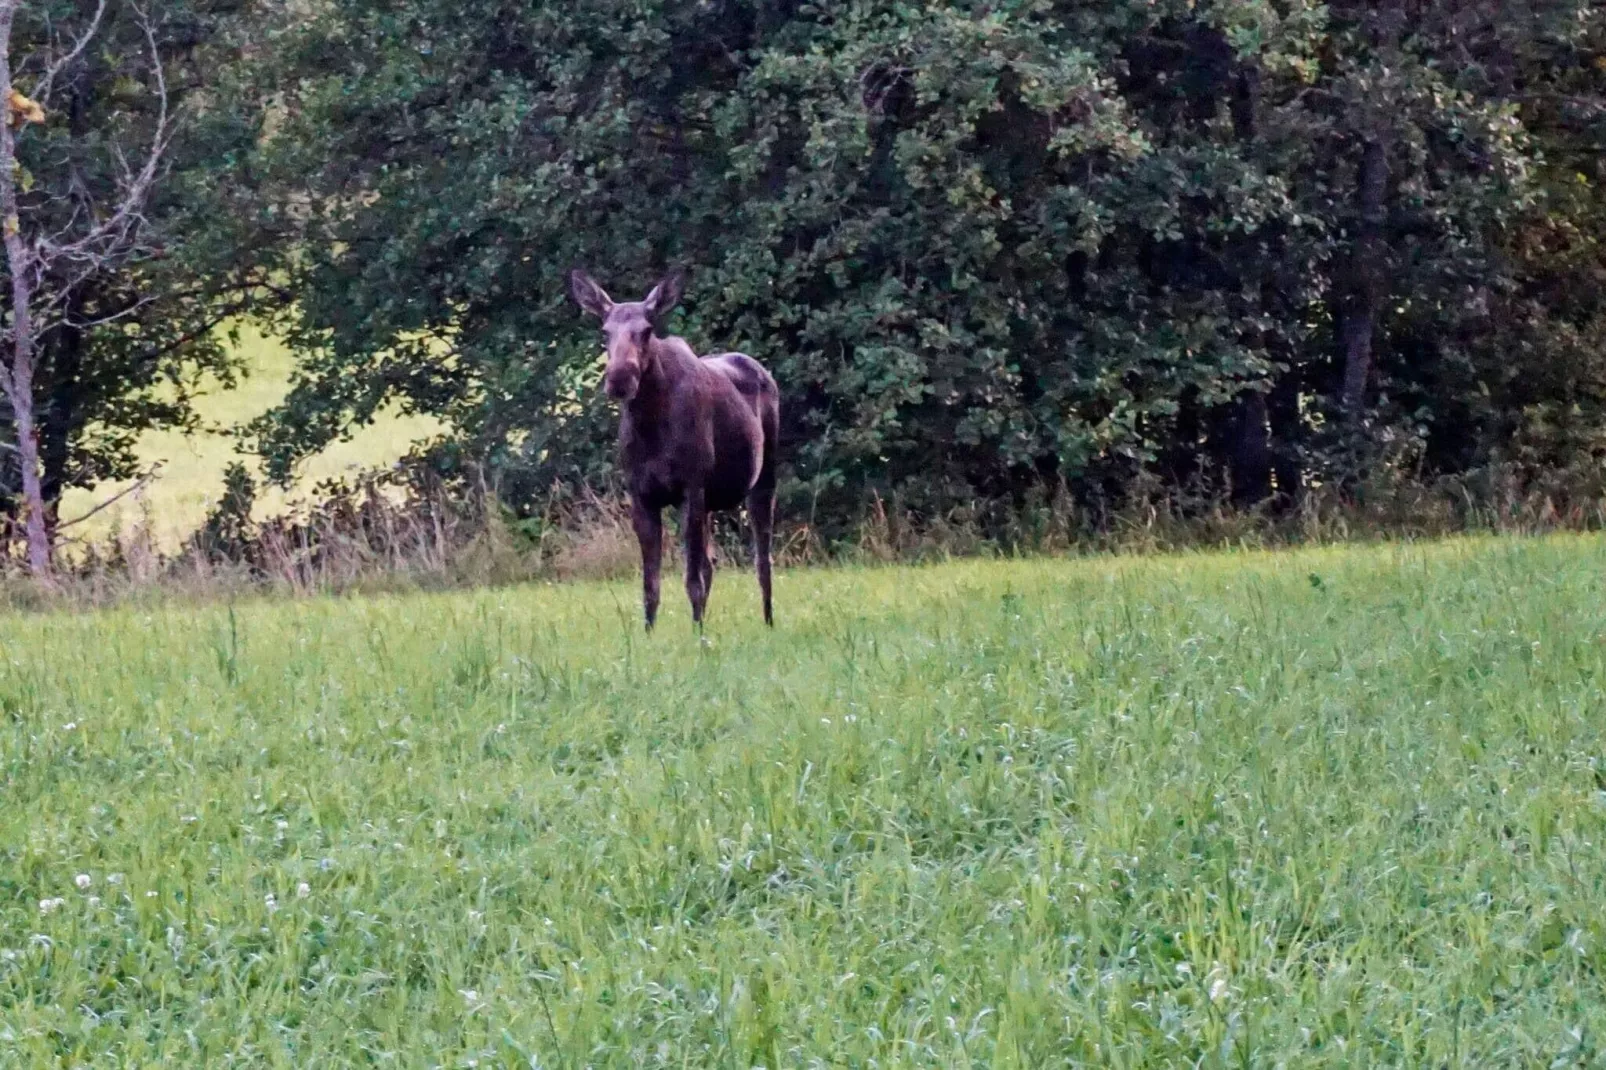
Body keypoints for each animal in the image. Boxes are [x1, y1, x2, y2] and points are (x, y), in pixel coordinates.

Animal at [571, 271, 783, 629]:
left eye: (647, 329)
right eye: (604, 331)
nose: (619, 378)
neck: (651, 426)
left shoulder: (690, 488)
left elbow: (691, 579)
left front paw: (699, 637)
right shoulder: (641, 495)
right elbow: (650, 585)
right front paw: (649, 634)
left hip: (763, 478)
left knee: (762, 560)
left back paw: (768, 623)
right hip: (711, 501)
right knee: (712, 564)